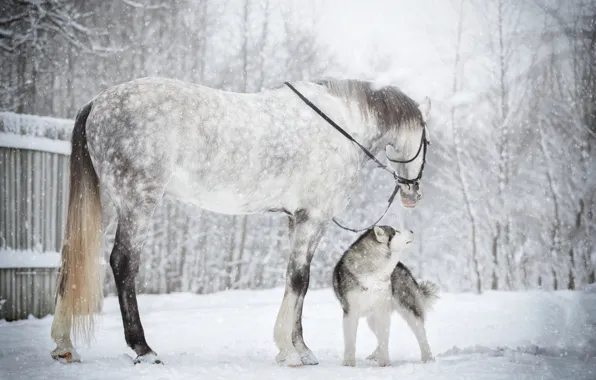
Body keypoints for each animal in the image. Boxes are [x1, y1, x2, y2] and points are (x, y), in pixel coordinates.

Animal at [332, 226, 440, 366]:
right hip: (372, 319)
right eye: (397, 231)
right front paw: (349, 362)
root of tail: (402, 267)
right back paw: (374, 355)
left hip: (408, 309)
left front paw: (384, 363)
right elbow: (351, 340)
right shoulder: (350, 312)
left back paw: (428, 358)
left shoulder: (382, 310)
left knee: (420, 333)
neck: (373, 274)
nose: (412, 230)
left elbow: (384, 338)